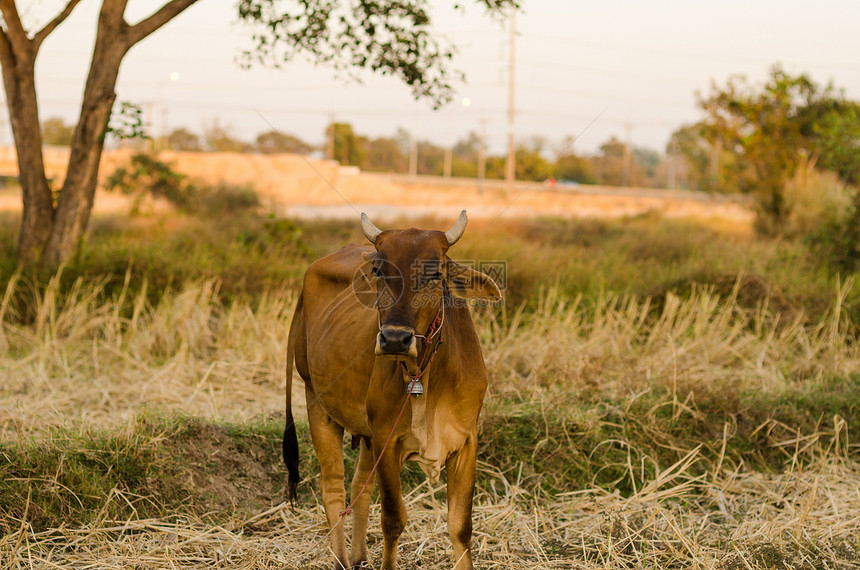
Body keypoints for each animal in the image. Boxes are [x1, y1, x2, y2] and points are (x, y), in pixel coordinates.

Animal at [284, 210, 498, 568]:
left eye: (435, 273)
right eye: (379, 271)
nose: (395, 339)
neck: (424, 376)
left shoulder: (466, 442)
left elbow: (461, 527)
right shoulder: (387, 439)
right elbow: (393, 520)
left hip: (366, 434)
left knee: (360, 484)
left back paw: (358, 556)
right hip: (315, 399)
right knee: (334, 488)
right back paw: (342, 560)